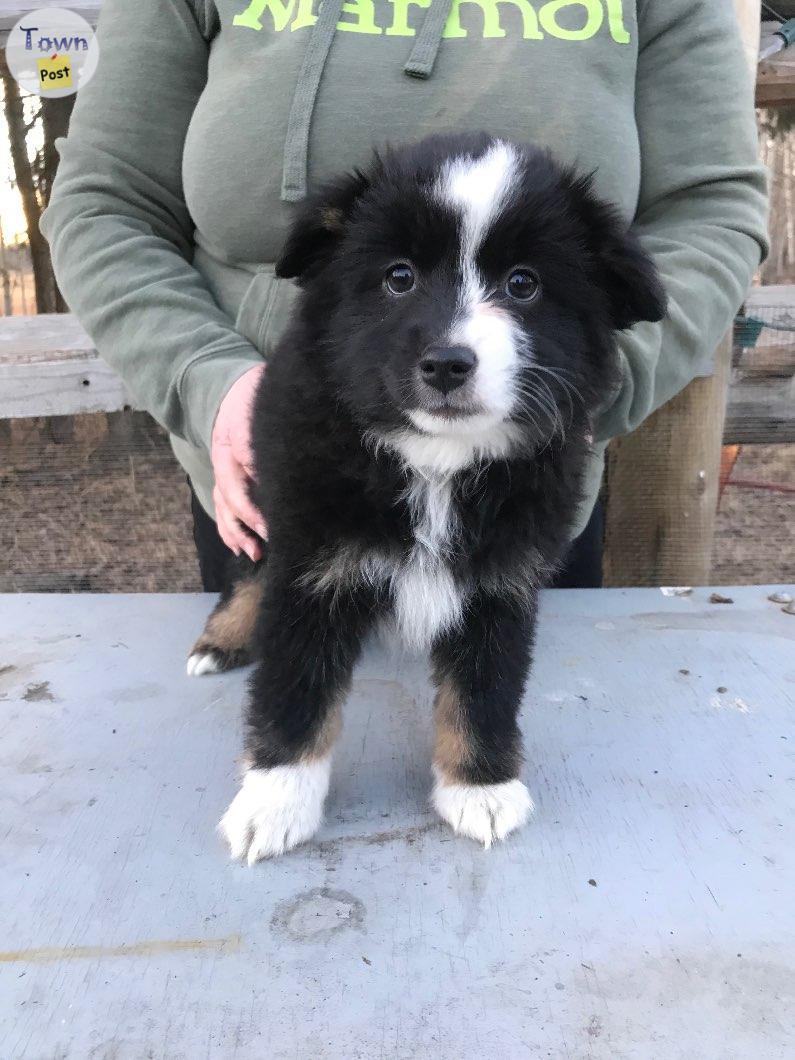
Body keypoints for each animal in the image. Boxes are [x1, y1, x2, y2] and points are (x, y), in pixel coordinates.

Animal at [189, 132, 669, 860]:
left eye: (522, 283)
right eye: (399, 277)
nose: (447, 364)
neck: (436, 464)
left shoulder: (499, 578)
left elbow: (484, 685)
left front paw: (480, 787)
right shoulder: (314, 565)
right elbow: (297, 685)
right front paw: (273, 800)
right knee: (248, 572)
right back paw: (221, 639)